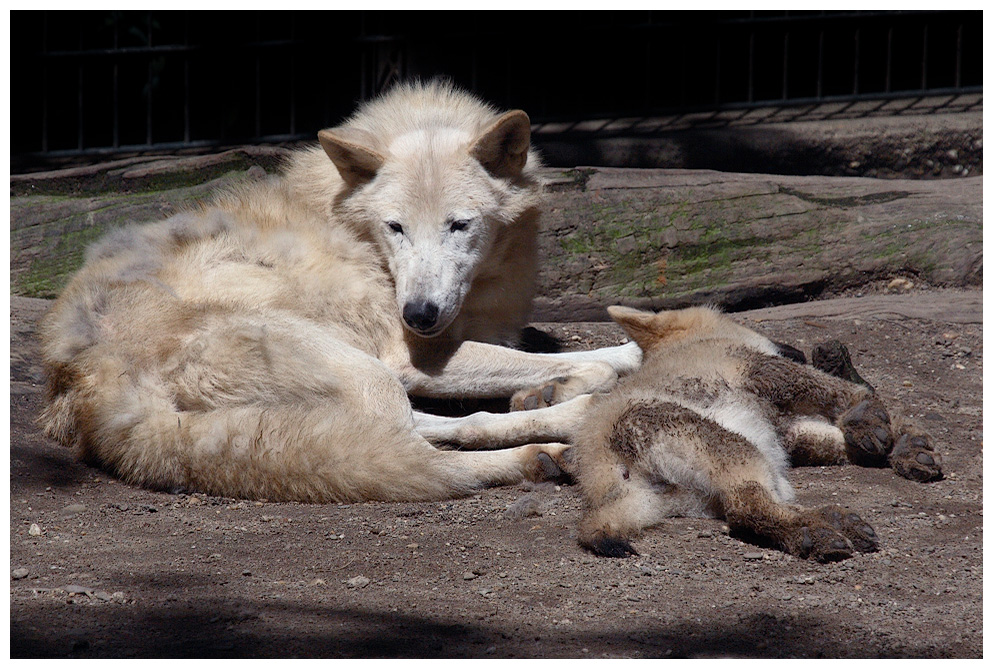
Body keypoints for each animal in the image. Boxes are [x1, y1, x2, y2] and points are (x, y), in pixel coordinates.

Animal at [38, 81, 640, 500]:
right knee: (411, 448)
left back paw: (566, 420)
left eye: (459, 225)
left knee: (434, 427)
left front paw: (573, 380)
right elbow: (588, 361)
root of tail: (87, 380)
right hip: (365, 370)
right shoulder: (410, 354)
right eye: (395, 227)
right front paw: (569, 380)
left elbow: (597, 354)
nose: (419, 313)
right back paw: (538, 451)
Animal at [568, 306, 940, 560]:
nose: (798, 349)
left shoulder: (786, 429)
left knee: (750, 510)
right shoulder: (765, 370)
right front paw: (871, 420)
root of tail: (602, 473)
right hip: (734, 448)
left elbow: (838, 438)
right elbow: (846, 392)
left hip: (700, 491)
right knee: (747, 507)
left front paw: (907, 446)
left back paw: (826, 521)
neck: (698, 340)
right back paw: (818, 530)